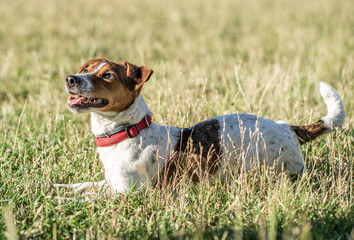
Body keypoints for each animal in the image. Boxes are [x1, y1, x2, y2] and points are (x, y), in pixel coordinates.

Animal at [53, 57, 346, 195]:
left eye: (107, 75)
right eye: (86, 69)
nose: (70, 78)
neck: (127, 131)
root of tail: (288, 127)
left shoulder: (125, 193)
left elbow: (87, 197)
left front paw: (64, 200)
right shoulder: (110, 183)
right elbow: (82, 186)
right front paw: (55, 190)